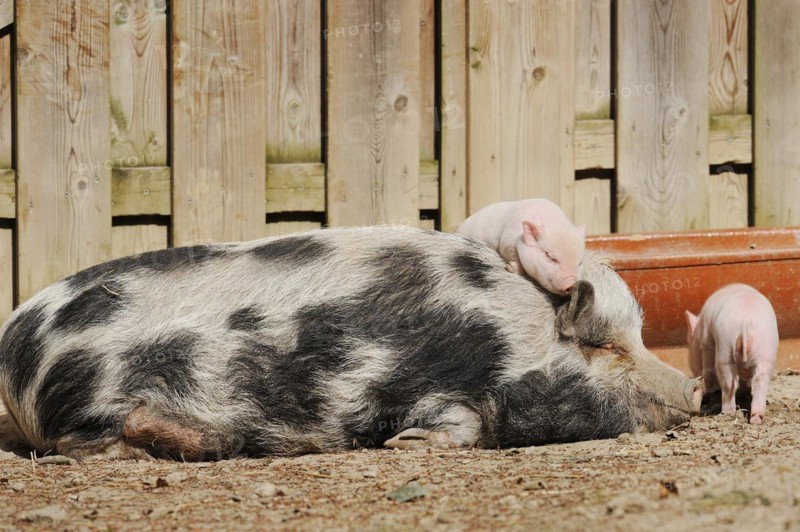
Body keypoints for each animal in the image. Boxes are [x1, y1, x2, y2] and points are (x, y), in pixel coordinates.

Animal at [0, 226, 701, 461]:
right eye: (606, 349)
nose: (695, 387)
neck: (503, 341)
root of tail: (13, 345)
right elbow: (457, 426)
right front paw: (404, 444)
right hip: (90, 407)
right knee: (85, 448)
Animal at [685, 284, 779, 424]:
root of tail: (746, 320)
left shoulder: (707, 343)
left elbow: (708, 369)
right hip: (766, 350)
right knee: (760, 380)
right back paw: (756, 419)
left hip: (725, 345)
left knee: (729, 382)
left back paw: (727, 413)